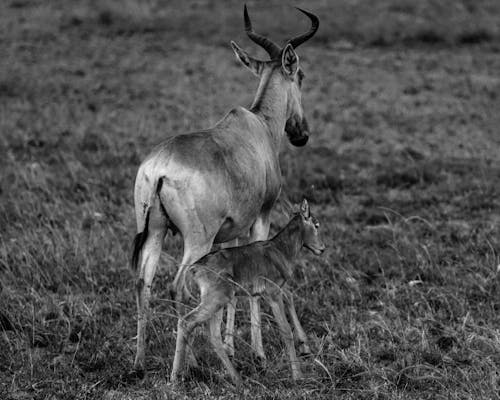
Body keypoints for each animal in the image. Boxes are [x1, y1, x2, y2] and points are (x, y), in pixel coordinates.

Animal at [170, 199, 326, 384]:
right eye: (316, 225)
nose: (322, 248)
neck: (279, 250)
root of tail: (194, 268)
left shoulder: (271, 291)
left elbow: (289, 300)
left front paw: (304, 348)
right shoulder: (273, 293)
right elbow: (285, 330)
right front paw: (298, 375)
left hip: (216, 302)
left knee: (213, 335)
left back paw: (236, 379)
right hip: (216, 300)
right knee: (187, 322)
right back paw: (175, 377)